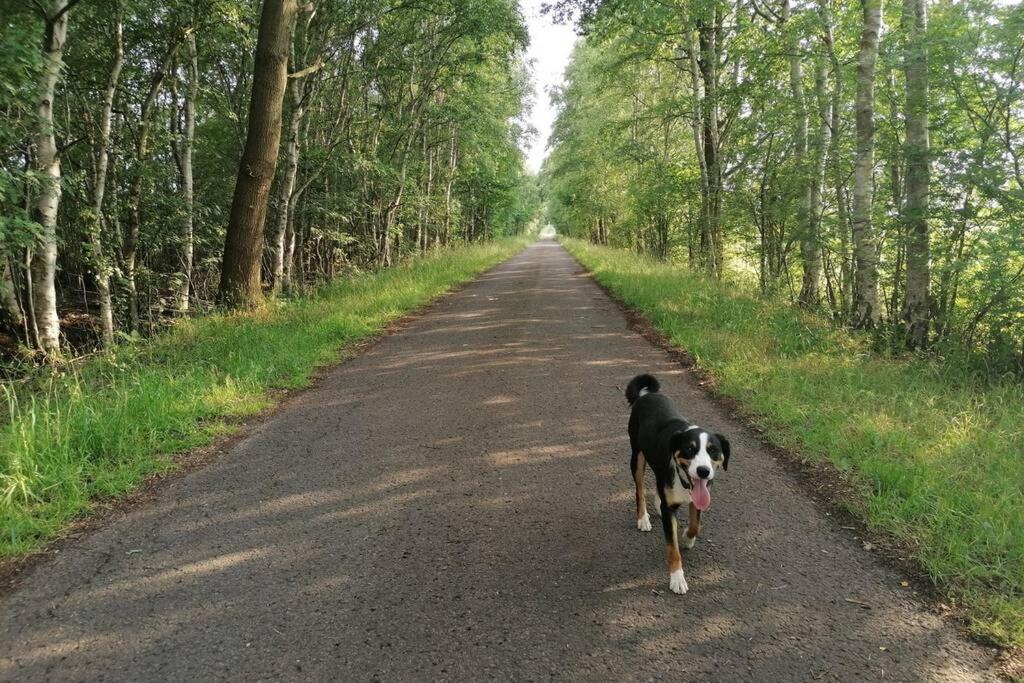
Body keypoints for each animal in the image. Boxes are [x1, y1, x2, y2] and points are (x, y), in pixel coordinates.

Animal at [622, 374, 729, 593]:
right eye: (689, 449)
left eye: (713, 451)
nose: (703, 471)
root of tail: (646, 395)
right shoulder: (670, 510)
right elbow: (673, 548)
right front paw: (677, 579)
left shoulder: (698, 497)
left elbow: (696, 525)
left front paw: (688, 537)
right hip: (637, 456)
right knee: (639, 490)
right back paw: (643, 518)